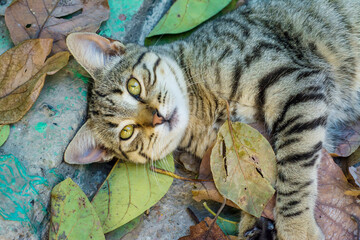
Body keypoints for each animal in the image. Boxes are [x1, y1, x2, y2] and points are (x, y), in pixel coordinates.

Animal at [63, 0, 360, 238]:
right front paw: (254, 223)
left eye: (134, 87)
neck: (203, 113)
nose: (158, 118)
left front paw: (295, 229)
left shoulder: (295, 83)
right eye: (127, 132)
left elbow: (294, 172)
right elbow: (261, 184)